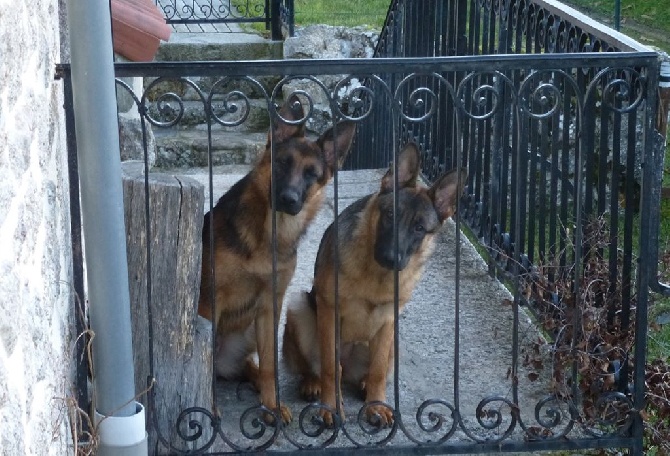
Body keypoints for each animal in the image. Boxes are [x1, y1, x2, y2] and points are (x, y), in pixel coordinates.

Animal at [198, 95, 356, 424]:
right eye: (283, 163)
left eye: (311, 174)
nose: (289, 200)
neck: (269, 235)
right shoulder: (210, 302)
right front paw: (211, 409)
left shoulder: (271, 305)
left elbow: (270, 364)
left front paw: (271, 406)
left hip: (248, 334)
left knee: (250, 366)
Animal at [284, 142, 468, 428]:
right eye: (390, 214)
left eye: (419, 228)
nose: (391, 258)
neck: (377, 275)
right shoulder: (329, 310)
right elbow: (330, 366)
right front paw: (330, 407)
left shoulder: (389, 318)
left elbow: (379, 369)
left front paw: (376, 406)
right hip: (299, 307)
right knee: (318, 367)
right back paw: (313, 383)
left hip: (394, 339)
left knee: (368, 370)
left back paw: (363, 385)